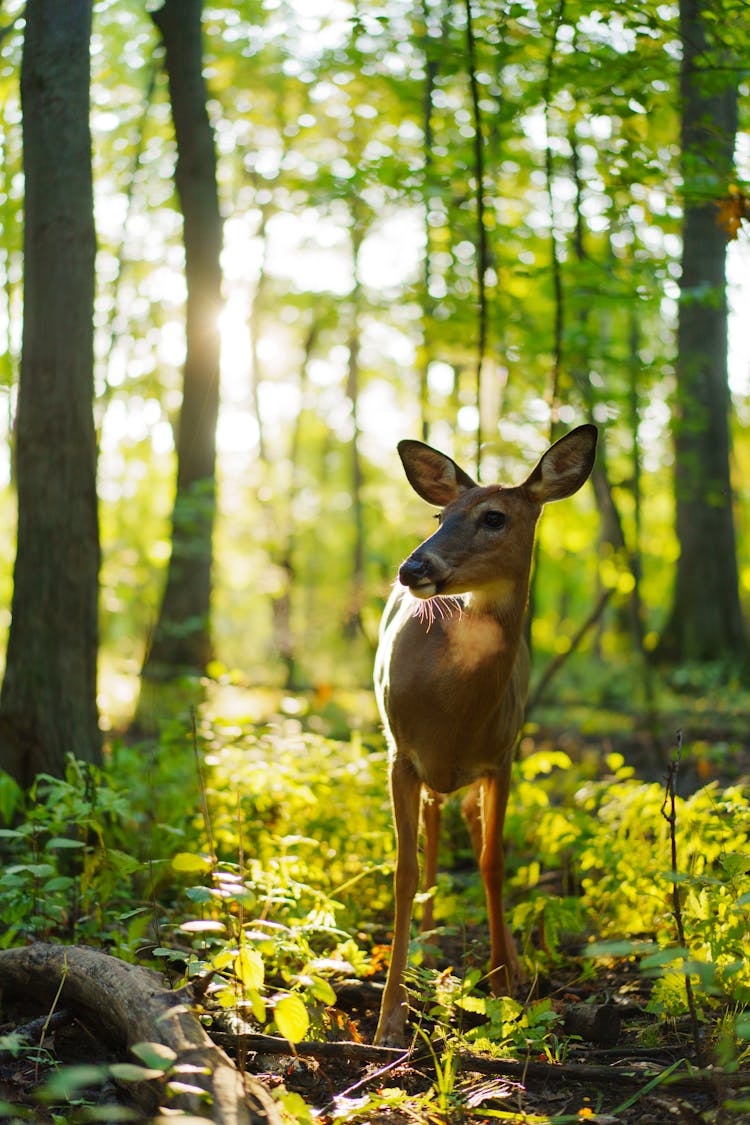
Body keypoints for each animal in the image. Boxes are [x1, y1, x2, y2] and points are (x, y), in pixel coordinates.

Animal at [375, 423, 598, 1044]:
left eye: (494, 517)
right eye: (440, 514)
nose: (412, 569)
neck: (453, 710)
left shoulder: (502, 758)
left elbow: (493, 864)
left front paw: (502, 982)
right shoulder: (401, 755)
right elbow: (403, 872)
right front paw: (390, 1018)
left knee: (469, 829)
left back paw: (514, 966)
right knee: (432, 827)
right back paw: (428, 942)